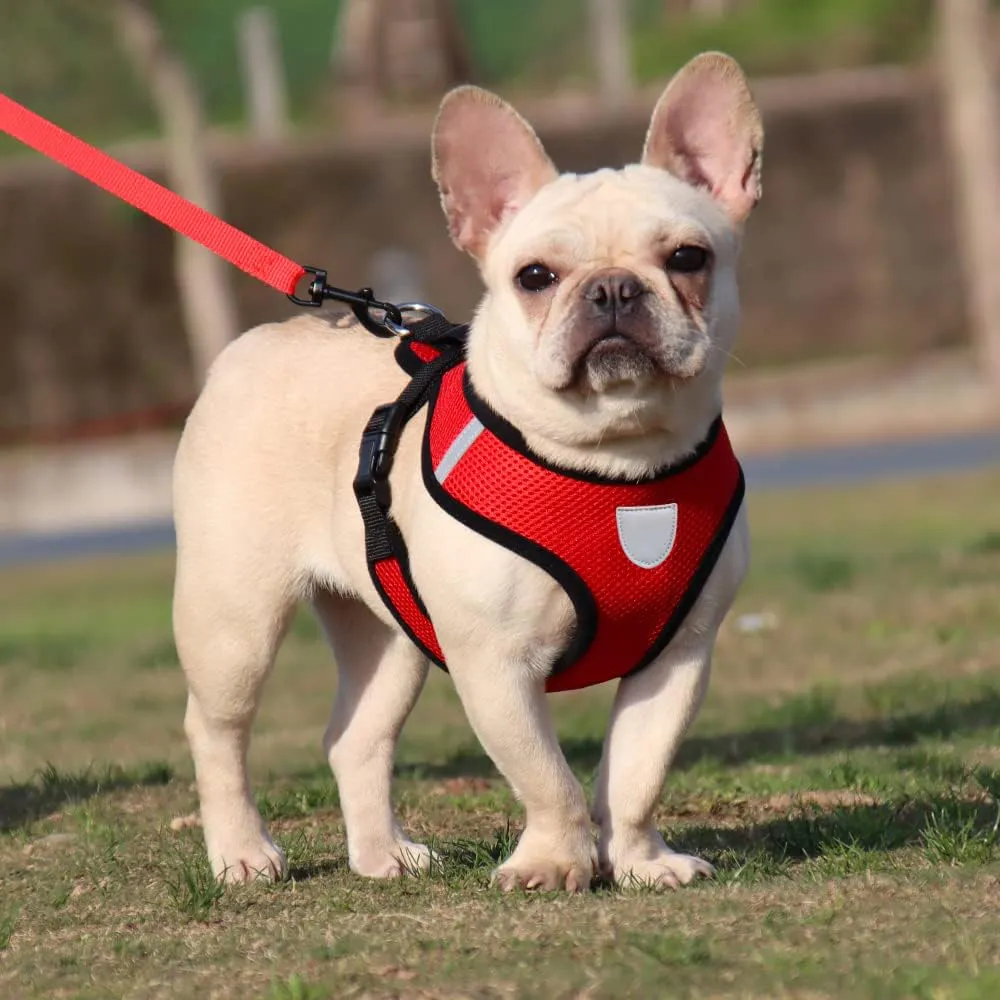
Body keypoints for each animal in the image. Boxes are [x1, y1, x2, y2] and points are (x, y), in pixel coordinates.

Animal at [174, 52, 756, 892]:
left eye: (688, 258)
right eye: (535, 276)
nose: (614, 287)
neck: (619, 459)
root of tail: (257, 342)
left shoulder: (678, 659)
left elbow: (637, 774)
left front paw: (643, 862)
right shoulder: (495, 663)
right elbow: (548, 776)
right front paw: (553, 863)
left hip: (390, 636)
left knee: (357, 735)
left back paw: (382, 854)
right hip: (234, 620)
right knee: (217, 728)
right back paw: (242, 852)